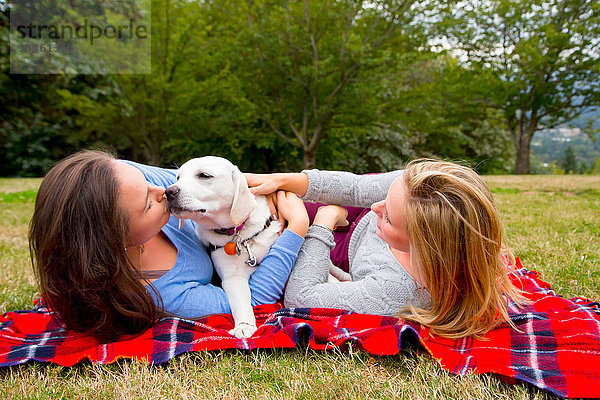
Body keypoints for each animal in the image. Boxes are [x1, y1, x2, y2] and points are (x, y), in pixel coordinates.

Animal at [164, 156, 282, 338]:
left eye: (204, 175)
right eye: (178, 177)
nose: (168, 192)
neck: (240, 233)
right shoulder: (233, 278)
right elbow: (241, 302)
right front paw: (244, 325)